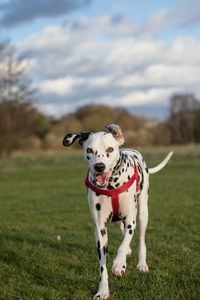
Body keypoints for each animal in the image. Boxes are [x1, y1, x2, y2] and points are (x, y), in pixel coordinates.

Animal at [63, 124, 173, 300]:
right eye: (89, 150)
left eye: (109, 149)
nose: (99, 166)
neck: (110, 186)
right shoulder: (100, 229)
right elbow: (102, 265)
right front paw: (103, 290)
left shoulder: (130, 221)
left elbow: (124, 242)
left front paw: (118, 265)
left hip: (143, 213)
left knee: (141, 239)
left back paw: (141, 263)